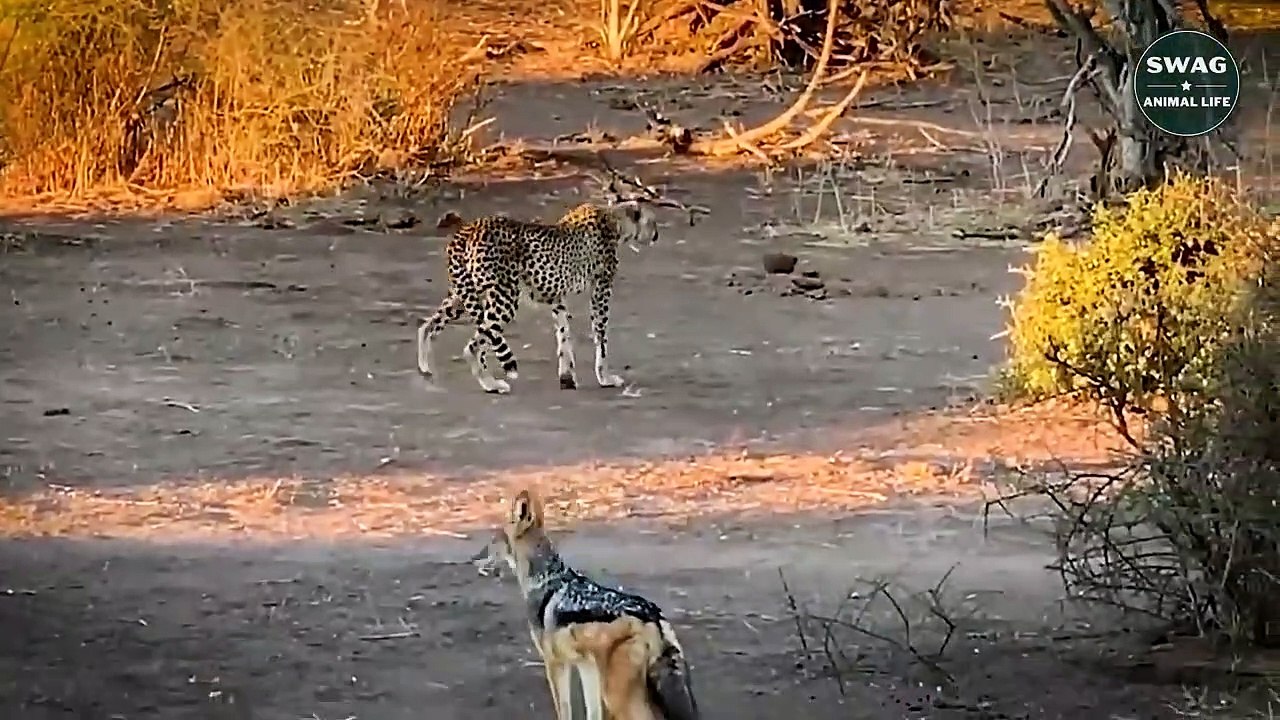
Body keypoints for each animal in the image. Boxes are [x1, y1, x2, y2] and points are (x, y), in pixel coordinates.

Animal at [416, 199, 659, 394]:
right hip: (504, 298)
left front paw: (566, 377)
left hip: (464, 293)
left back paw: (425, 366)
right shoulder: (602, 289)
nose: (656, 235)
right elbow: (601, 337)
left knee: (428, 325)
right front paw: (605, 377)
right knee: (473, 346)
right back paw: (490, 384)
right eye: (653, 222)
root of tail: (468, 228)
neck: (614, 219)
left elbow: (564, 336)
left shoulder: (557, 297)